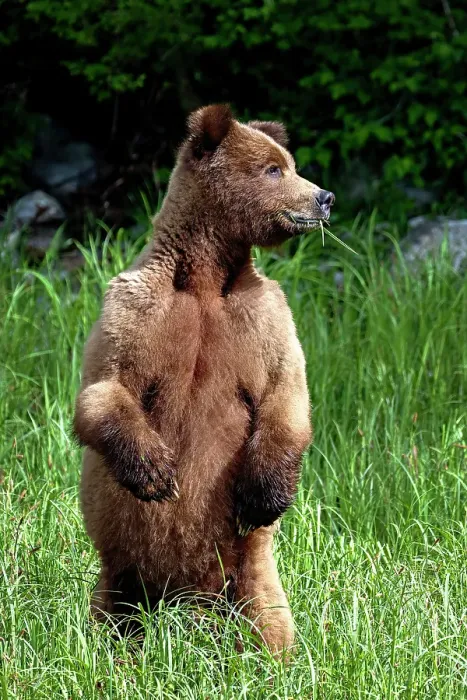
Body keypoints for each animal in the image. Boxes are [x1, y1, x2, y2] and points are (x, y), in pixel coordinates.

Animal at [73, 104, 334, 656]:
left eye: (289, 163)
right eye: (274, 169)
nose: (324, 197)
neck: (206, 278)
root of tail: (189, 600)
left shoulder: (262, 319)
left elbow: (286, 395)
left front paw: (264, 494)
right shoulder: (138, 309)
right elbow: (104, 388)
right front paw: (156, 472)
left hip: (250, 570)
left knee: (268, 615)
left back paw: (272, 658)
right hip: (120, 572)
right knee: (113, 611)